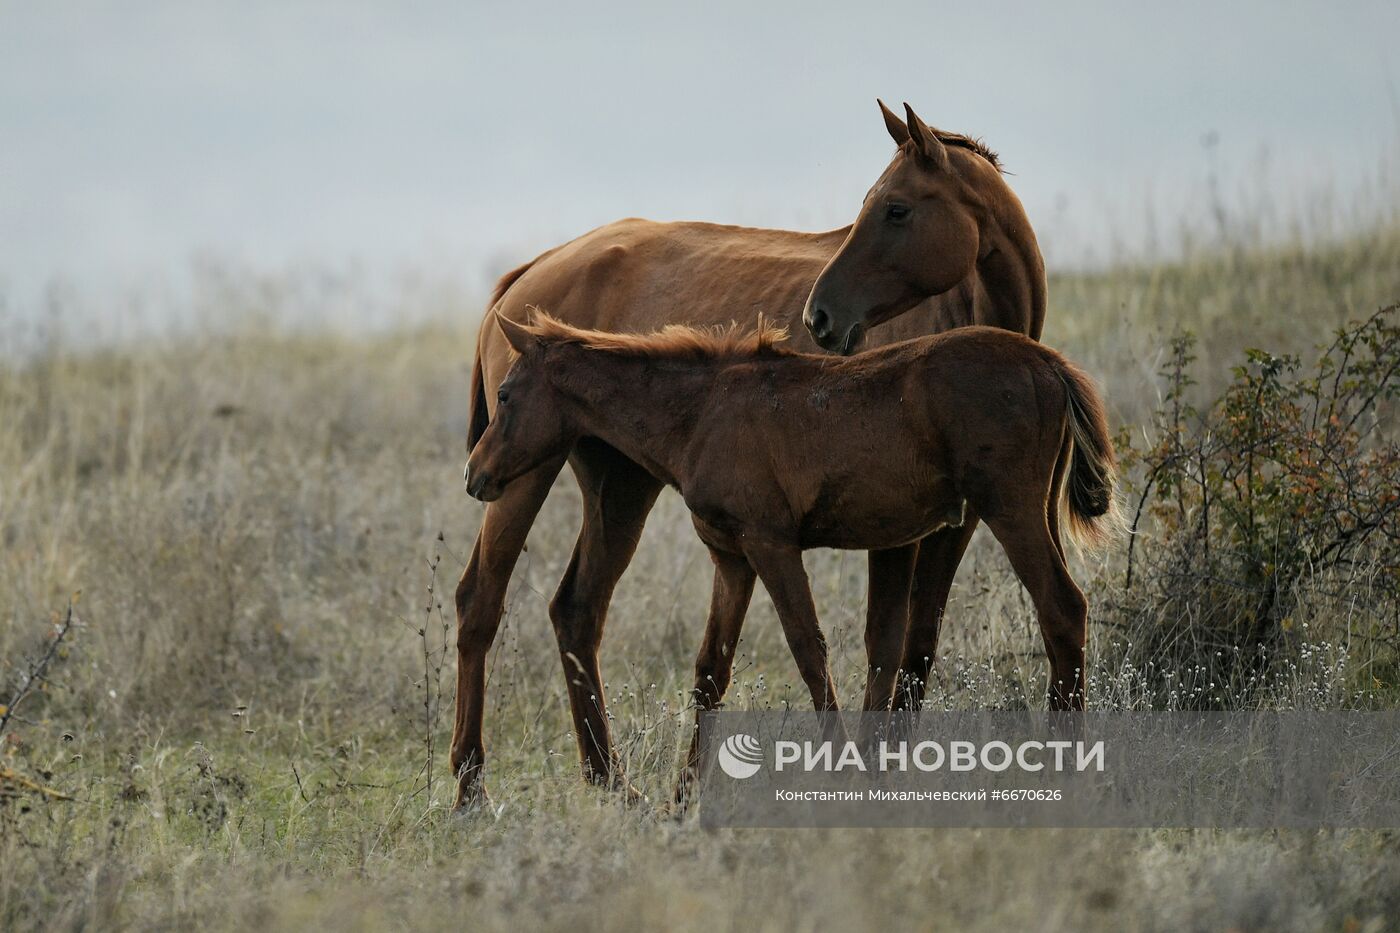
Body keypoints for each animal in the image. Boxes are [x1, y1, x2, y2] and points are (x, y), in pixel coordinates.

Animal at [453, 98, 1047, 801]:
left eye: (896, 209)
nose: (822, 318)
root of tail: (528, 275)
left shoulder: (954, 524)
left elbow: (916, 647)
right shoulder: (894, 531)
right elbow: (882, 645)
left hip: (619, 485)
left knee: (577, 610)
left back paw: (611, 782)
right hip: (521, 474)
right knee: (481, 601)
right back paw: (470, 787)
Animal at [464, 316, 1120, 795]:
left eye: (506, 394)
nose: (475, 476)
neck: (703, 411)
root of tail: (1047, 363)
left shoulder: (770, 543)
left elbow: (809, 650)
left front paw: (842, 772)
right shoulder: (731, 557)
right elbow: (710, 670)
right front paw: (682, 798)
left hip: (1010, 511)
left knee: (1063, 608)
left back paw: (1064, 762)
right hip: (1033, 514)